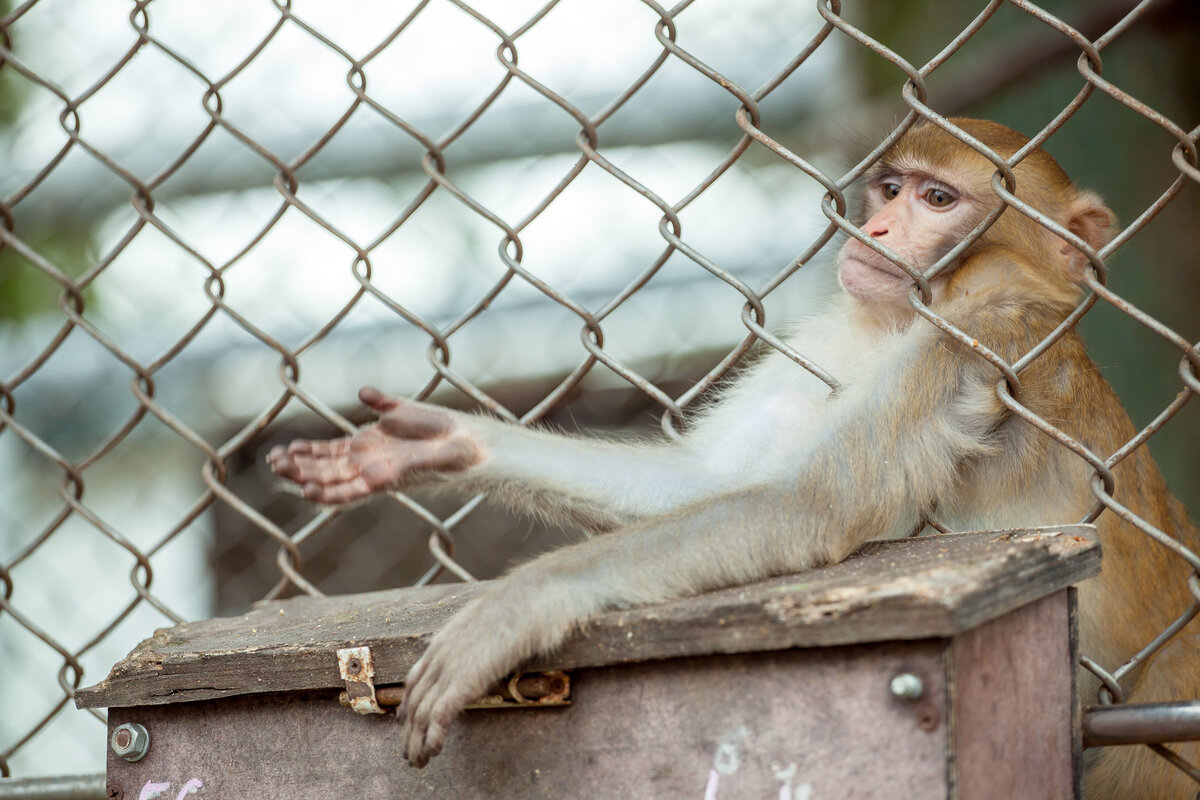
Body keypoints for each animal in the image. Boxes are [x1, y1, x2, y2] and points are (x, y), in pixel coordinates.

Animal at [270, 118, 1200, 800]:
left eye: (940, 199)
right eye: (892, 188)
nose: (875, 228)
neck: (902, 319)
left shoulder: (982, 334)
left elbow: (805, 507)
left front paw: (519, 605)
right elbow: (715, 485)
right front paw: (441, 443)